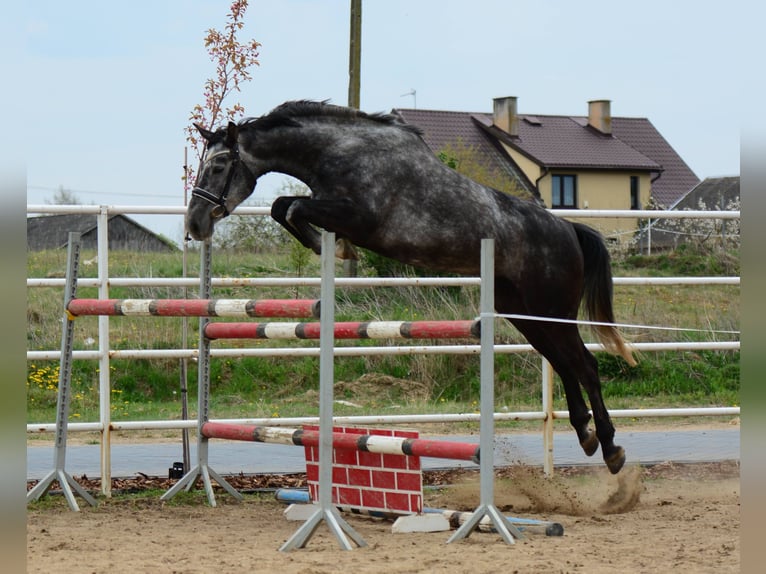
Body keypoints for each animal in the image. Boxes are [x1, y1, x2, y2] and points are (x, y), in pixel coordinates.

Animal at [185, 100, 636, 474]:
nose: (195, 225)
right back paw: (587, 436)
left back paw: (611, 448)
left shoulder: (358, 216)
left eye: (218, 167)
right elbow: (284, 207)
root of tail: (568, 228)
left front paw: (330, 245)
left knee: (584, 365)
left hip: (551, 310)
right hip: (524, 314)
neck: (341, 152)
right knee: (563, 363)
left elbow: (293, 206)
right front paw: (326, 244)